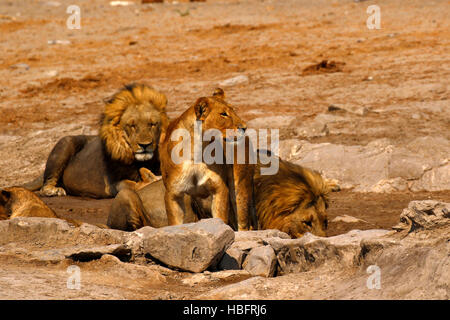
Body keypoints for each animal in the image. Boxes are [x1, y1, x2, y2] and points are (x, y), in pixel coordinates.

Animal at [25, 84, 169, 199]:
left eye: (152, 124)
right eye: (132, 126)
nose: (145, 145)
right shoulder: (112, 184)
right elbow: (131, 185)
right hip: (65, 142)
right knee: (45, 186)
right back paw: (54, 191)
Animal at [159, 89, 256, 231]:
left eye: (233, 111)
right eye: (223, 114)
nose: (244, 127)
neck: (197, 151)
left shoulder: (219, 188)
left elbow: (220, 218)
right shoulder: (173, 194)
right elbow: (175, 223)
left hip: (240, 188)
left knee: (243, 223)